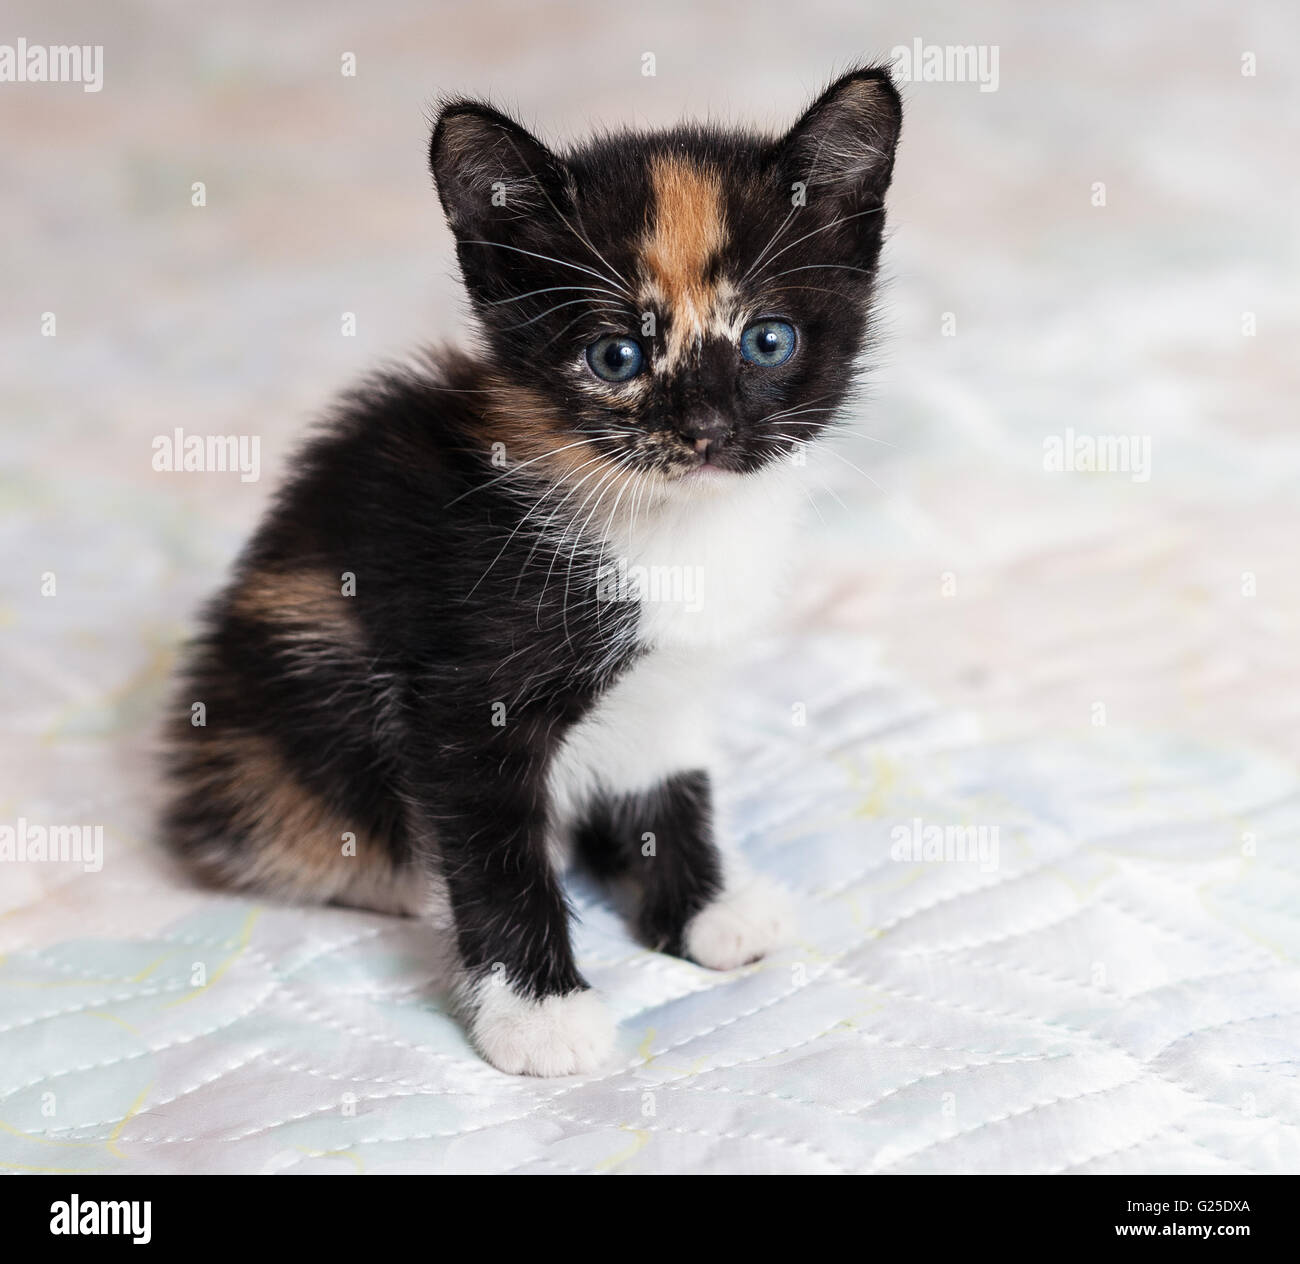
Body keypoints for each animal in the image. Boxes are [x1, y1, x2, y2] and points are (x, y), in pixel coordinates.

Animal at [162, 66, 904, 1076]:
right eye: (616, 356)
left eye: (768, 341)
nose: (707, 431)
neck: (671, 530)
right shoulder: (463, 696)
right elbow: (492, 849)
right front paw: (540, 1014)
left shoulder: (669, 688)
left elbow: (664, 783)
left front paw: (701, 910)